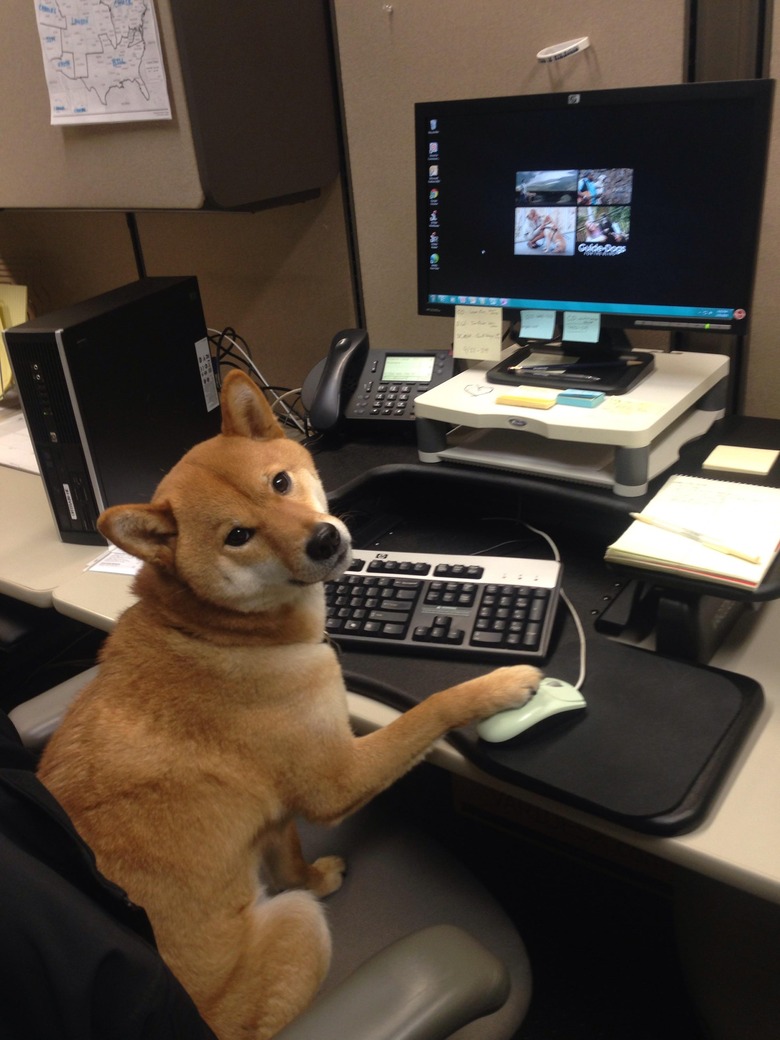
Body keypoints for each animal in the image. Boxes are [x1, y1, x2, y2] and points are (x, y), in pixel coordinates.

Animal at [38, 370, 544, 1035]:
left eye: (280, 482)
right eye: (238, 536)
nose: (326, 539)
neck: (214, 630)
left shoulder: (275, 813)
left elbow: (288, 858)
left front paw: (313, 875)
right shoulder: (335, 781)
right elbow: (433, 707)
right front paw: (500, 686)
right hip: (297, 929)